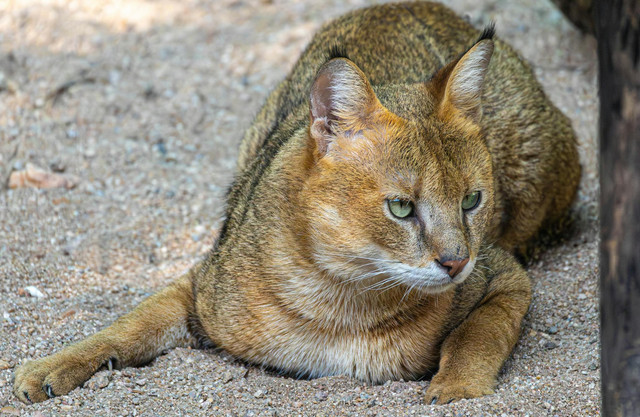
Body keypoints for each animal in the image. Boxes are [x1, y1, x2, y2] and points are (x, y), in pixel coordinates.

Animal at [12, 0, 584, 404]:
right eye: (401, 207)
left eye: (472, 201)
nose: (456, 262)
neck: (339, 299)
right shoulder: (199, 285)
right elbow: (129, 322)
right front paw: (54, 363)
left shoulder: (506, 278)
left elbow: (479, 334)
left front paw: (456, 388)